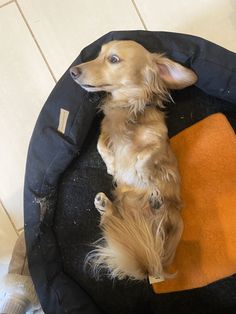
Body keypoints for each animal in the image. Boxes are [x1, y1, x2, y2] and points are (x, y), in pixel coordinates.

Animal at [70, 39, 197, 282]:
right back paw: (104, 205)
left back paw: (156, 203)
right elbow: (101, 145)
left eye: (113, 59)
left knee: (162, 236)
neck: (127, 106)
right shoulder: (105, 132)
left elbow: (145, 158)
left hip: (175, 224)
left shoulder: (158, 142)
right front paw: (112, 165)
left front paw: (143, 174)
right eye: (98, 55)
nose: (73, 71)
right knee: (112, 218)